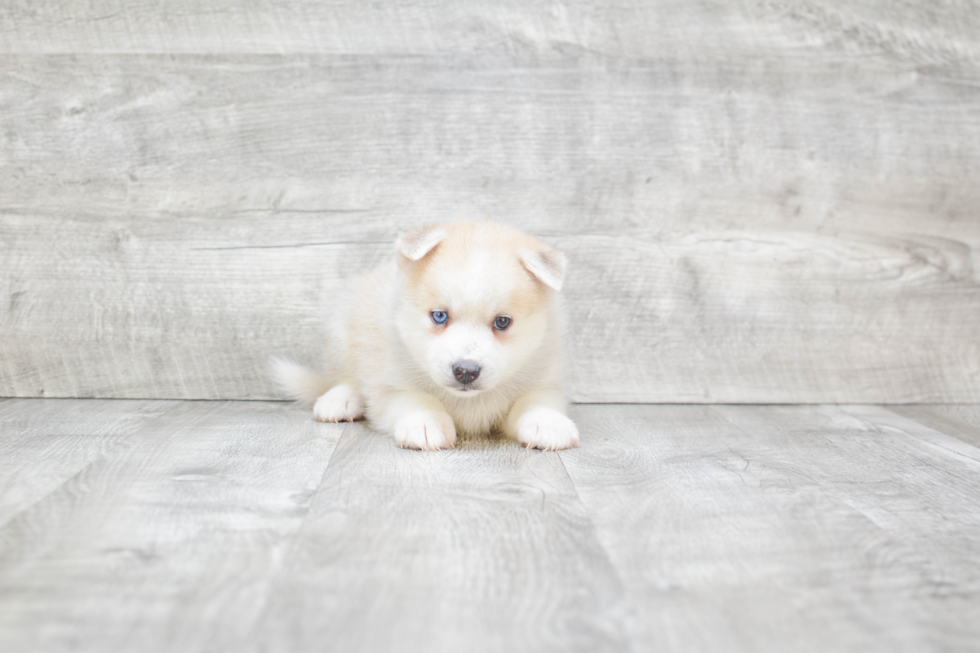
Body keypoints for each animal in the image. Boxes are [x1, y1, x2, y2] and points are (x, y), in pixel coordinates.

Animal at [272, 219, 580, 448]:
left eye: (502, 322)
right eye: (439, 316)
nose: (466, 371)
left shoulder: (545, 378)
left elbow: (536, 401)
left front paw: (548, 424)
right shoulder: (389, 384)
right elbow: (416, 398)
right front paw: (425, 422)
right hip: (343, 326)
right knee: (345, 377)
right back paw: (340, 401)